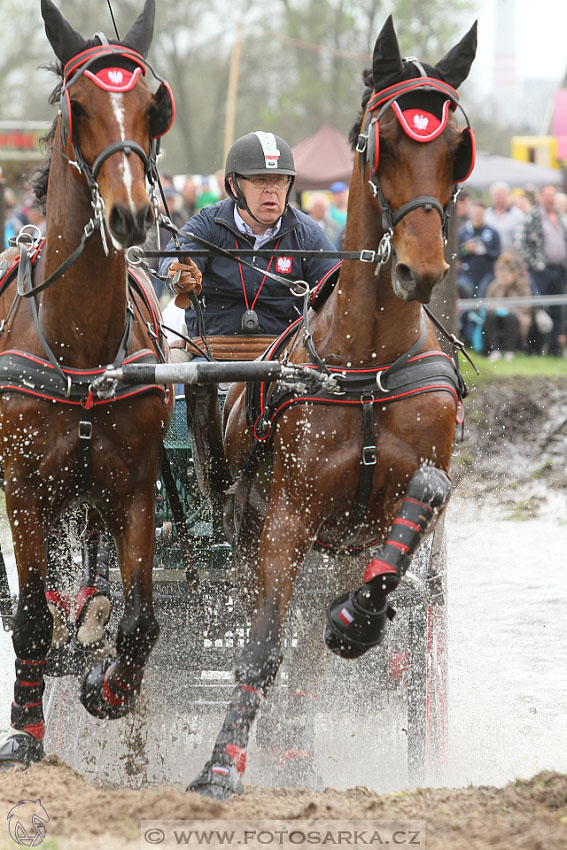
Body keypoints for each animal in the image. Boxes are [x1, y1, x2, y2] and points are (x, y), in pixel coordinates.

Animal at [191, 16, 480, 800]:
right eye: (380, 141)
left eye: (456, 147)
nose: (421, 269)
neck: (367, 363)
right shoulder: (288, 518)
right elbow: (262, 649)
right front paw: (219, 767)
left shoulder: (397, 500)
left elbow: (425, 493)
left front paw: (357, 619)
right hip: (262, 543)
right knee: (281, 648)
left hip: (328, 553)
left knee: (311, 662)